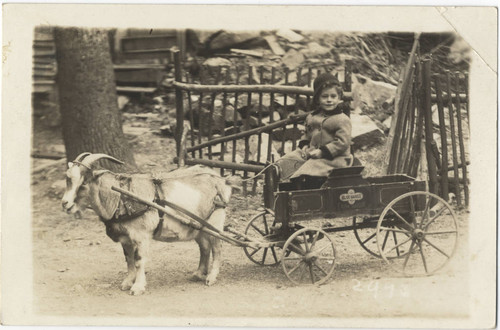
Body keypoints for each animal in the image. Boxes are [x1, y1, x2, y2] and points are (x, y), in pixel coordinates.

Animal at [62, 153, 232, 296]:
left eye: (84, 182)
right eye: (68, 179)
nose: (65, 204)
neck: (120, 197)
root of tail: (220, 179)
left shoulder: (141, 235)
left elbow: (138, 260)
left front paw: (137, 287)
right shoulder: (126, 237)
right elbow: (129, 260)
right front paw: (127, 283)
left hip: (215, 220)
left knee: (217, 247)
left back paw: (211, 277)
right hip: (197, 226)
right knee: (204, 247)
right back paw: (198, 273)